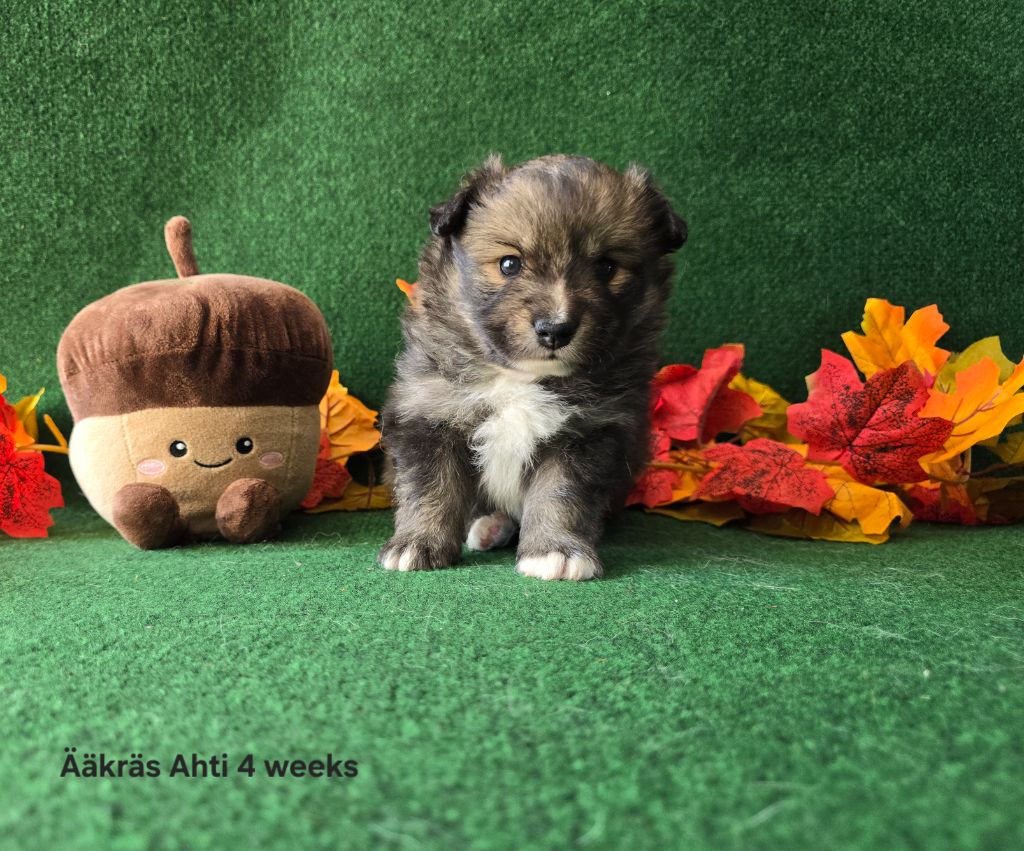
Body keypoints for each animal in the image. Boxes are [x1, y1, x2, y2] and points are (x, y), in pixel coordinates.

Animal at [378, 154, 686, 580]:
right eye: (510, 264)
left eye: (607, 267)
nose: (555, 329)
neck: (518, 377)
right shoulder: (430, 413)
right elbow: (430, 488)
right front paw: (417, 544)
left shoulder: (589, 431)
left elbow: (560, 493)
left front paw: (555, 551)